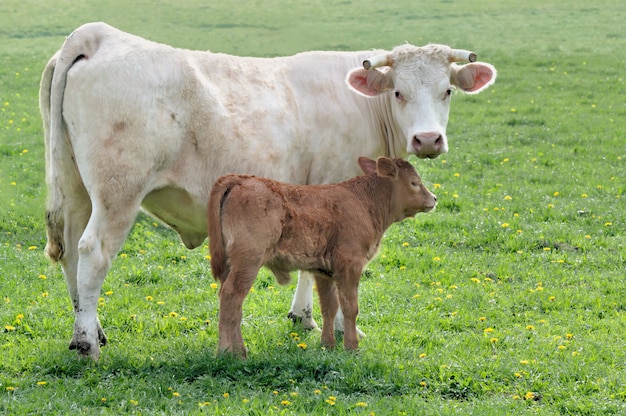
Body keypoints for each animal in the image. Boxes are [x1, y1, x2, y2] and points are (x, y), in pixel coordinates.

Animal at [207, 156, 436, 358]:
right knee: (231, 296)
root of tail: (241, 178)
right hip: (248, 261)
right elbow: (350, 307)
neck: (363, 202)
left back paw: (239, 350)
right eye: (415, 182)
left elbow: (329, 307)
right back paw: (227, 352)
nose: (434, 198)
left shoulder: (324, 271)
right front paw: (352, 347)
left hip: (231, 264)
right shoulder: (350, 265)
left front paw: (328, 345)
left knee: (233, 304)